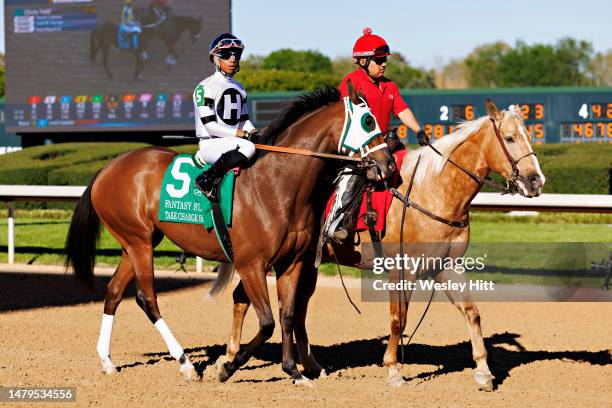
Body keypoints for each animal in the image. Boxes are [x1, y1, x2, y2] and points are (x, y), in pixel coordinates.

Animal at [63, 84, 396, 384]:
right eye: (369, 121)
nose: (389, 166)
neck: (278, 184)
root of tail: (107, 169)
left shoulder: (291, 263)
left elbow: (287, 315)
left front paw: (293, 371)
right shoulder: (251, 265)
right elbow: (267, 322)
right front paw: (227, 367)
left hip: (134, 242)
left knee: (113, 292)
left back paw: (107, 361)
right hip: (139, 242)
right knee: (147, 299)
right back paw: (186, 364)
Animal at [221, 99, 544, 388]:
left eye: (529, 136)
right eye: (510, 138)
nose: (536, 180)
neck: (433, 190)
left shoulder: (446, 267)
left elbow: (472, 313)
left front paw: (483, 371)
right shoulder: (402, 269)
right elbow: (398, 319)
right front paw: (393, 370)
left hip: (300, 264)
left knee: (291, 309)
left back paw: (305, 365)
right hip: (271, 260)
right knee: (252, 300)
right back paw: (230, 356)